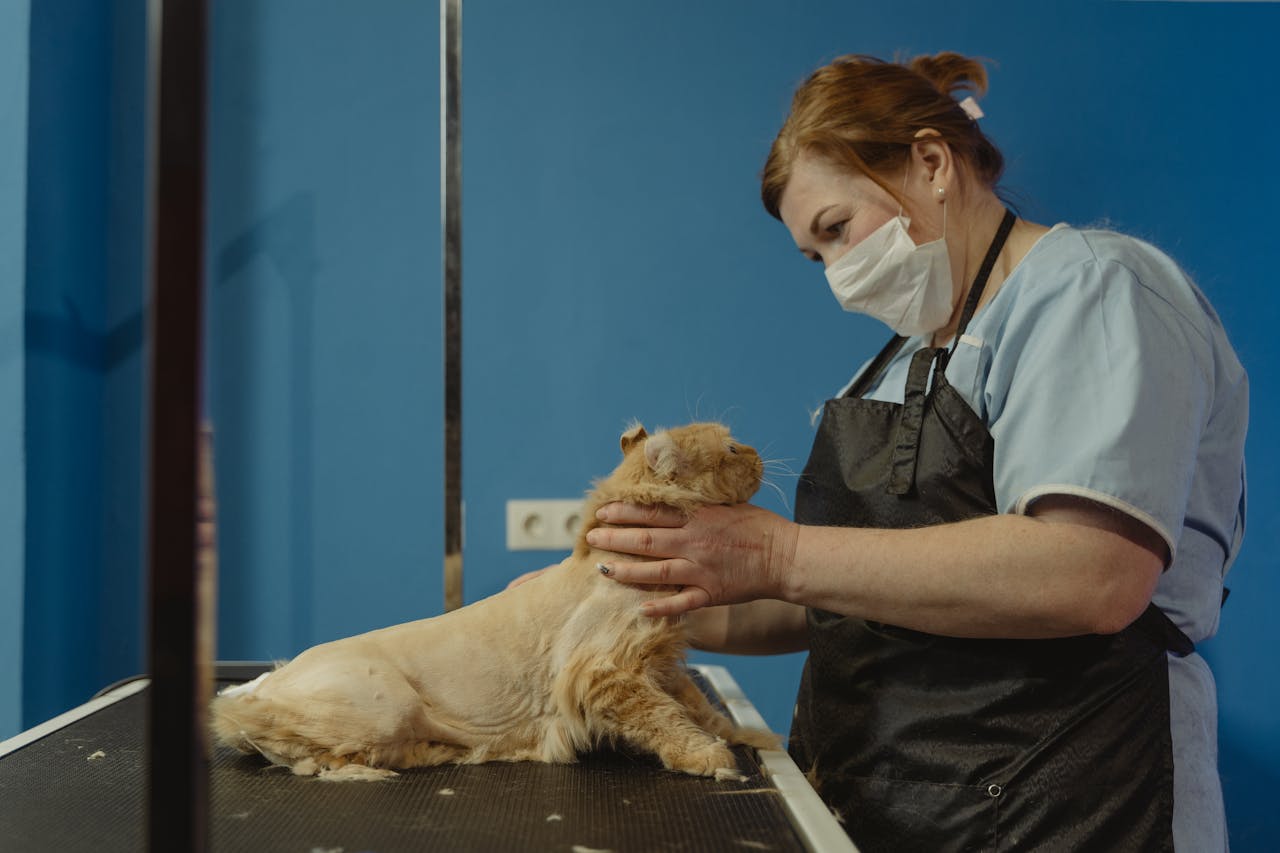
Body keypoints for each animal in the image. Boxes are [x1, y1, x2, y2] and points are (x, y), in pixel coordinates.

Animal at [207, 420, 778, 778]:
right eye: (731, 450)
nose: (759, 456)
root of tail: (270, 681)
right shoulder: (605, 673)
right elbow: (667, 720)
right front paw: (709, 759)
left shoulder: (660, 663)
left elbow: (700, 707)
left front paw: (751, 738)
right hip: (382, 706)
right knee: (270, 731)